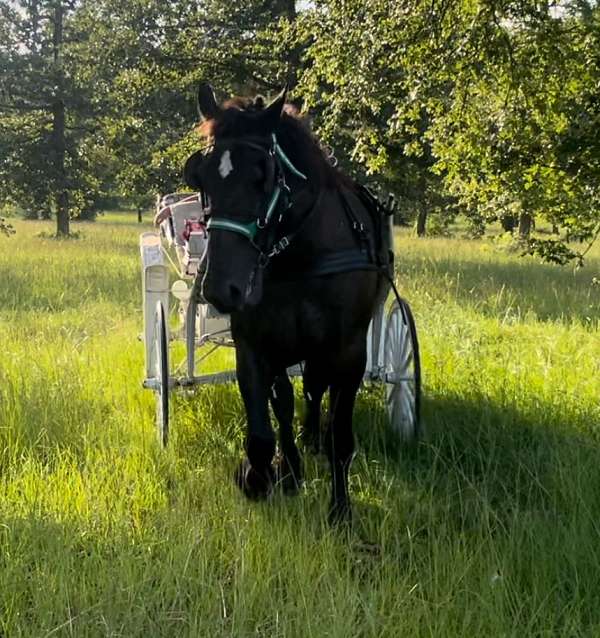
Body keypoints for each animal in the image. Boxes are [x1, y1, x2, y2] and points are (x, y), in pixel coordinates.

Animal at [186, 84, 394, 524]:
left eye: (262, 176)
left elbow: (339, 434)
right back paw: (294, 462)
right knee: (288, 397)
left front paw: (340, 511)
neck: (300, 255)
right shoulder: (254, 345)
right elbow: (263, 430)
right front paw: (261, 476)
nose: (221, 289)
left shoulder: (349, 350)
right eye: (201, 176)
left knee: (316, 390)